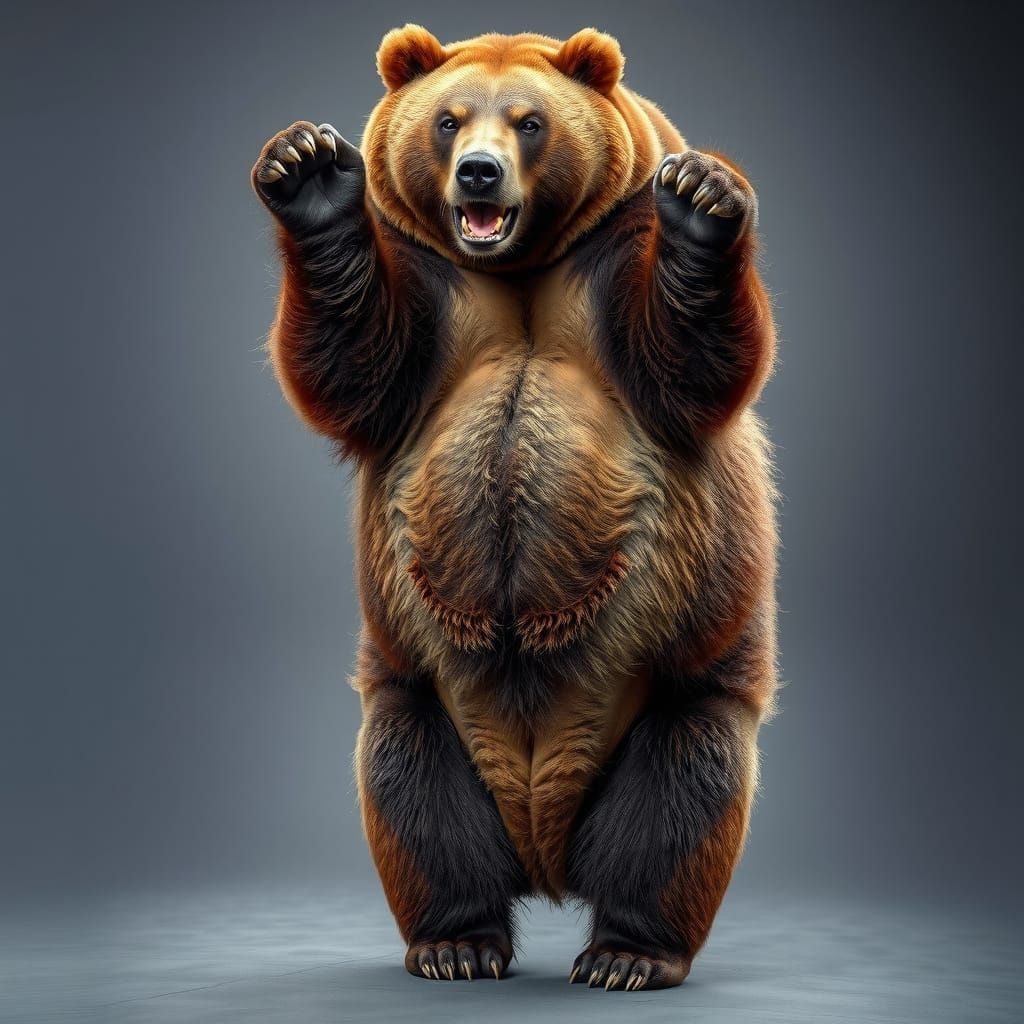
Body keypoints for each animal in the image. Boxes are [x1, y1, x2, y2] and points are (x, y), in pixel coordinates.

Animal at [251, 25, 777, 991]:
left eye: (530, 121)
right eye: (449, 119)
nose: (479, 174)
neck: (522, 266)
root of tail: (546, 851)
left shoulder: (611, 277)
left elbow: (693, 361)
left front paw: (704, 193)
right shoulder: (433, 302)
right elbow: (353, 361)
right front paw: (306, 166)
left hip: (679, 682)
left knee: (682, 801)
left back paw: (627, 954)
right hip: (419, 689)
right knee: (413, 798)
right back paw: (456, 943)